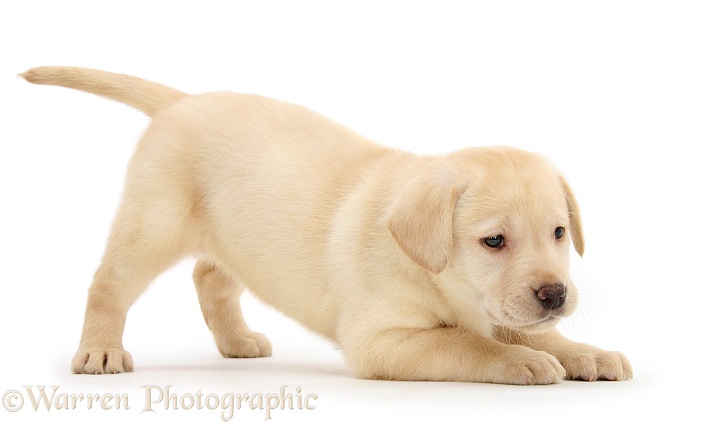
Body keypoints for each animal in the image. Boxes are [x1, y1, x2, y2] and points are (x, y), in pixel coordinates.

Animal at [22, 66, 632, 384]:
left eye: (559, 233)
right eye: (494, 241)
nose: (554, 294)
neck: (432, 273)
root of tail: (183, 102)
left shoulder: (497, 310)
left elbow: (536, 331)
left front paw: (587, 352)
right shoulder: (383, 340)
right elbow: (469, 345)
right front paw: (524, 360)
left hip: (235, 234)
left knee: (209, 277)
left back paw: (237, 340)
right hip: (152, 225)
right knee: (109, 284)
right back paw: (100, 352)